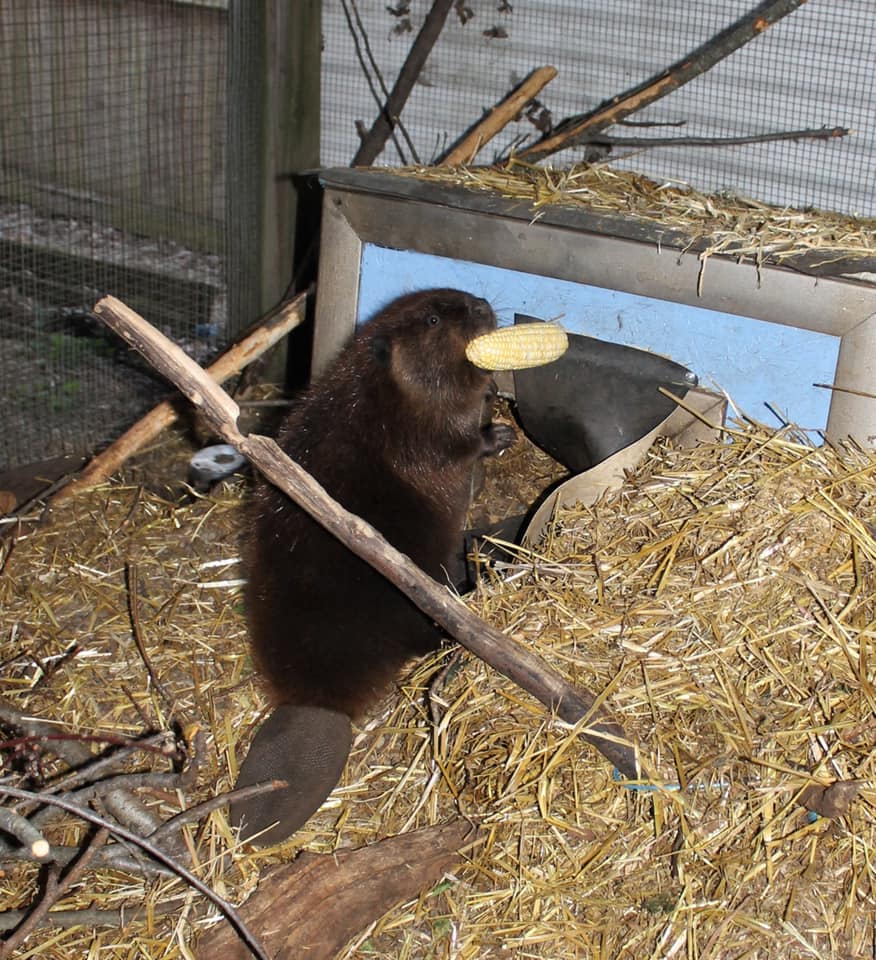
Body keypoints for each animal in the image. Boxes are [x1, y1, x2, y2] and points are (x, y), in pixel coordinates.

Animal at [233, 288, 516, 844]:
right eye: (434, 318)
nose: (480, 305)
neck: (383, 395)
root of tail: (318, 702)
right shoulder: (417, 437)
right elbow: (454, 448)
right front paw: (497, 434)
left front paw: (495, 390)